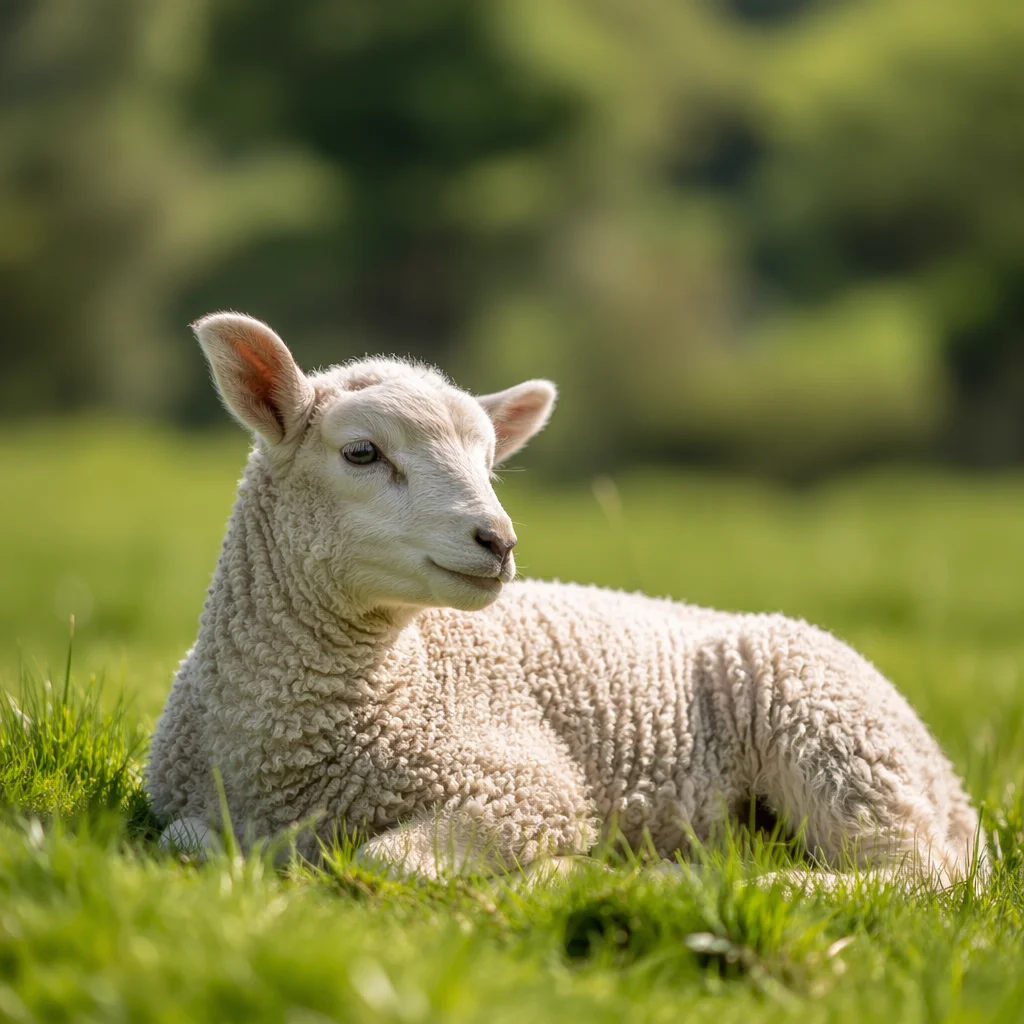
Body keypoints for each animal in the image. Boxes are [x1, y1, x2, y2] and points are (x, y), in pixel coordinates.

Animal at [146, 312, 984, 886]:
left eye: (490, 462)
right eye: (361, 452)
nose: (498, 540)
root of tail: (954, 787)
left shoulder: (526, 787)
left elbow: (389, 862)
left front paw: (561, 872)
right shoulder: (184, 804)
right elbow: (180, 842)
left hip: (836, 734)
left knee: (909, 875)